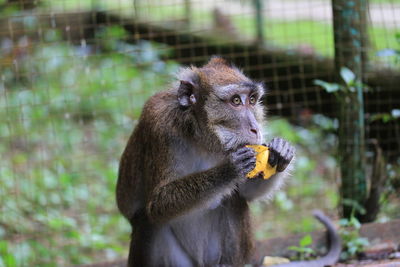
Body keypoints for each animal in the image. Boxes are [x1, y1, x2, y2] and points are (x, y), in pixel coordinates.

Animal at [115, 57, 296, 267]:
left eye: (252, 100)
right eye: (235, 101)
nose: (255, 129)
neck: (201, 137)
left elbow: (246, 192)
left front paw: (280, 153)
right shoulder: (158, 128)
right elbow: (158, 204)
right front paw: (229, 170)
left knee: (234, 200)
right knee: (147, 220)